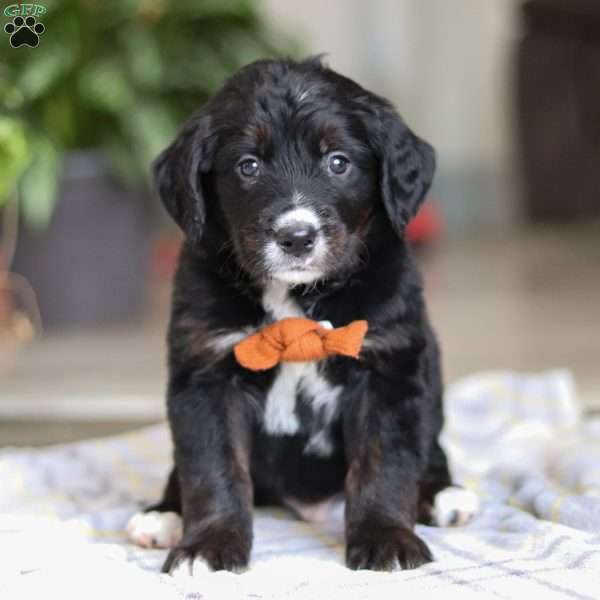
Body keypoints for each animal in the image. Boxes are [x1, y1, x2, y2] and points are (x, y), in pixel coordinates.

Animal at [126, 57, 478, 576]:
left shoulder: (388, 369)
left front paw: (386, 539)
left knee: (429, 449)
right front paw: (208, 546)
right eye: (248, 166)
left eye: (338, 162)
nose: (296, 237)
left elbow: (384, 464)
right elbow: (213, 470)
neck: (296, 297)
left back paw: (442, 494)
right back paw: (163, 514)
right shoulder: (207, 375)